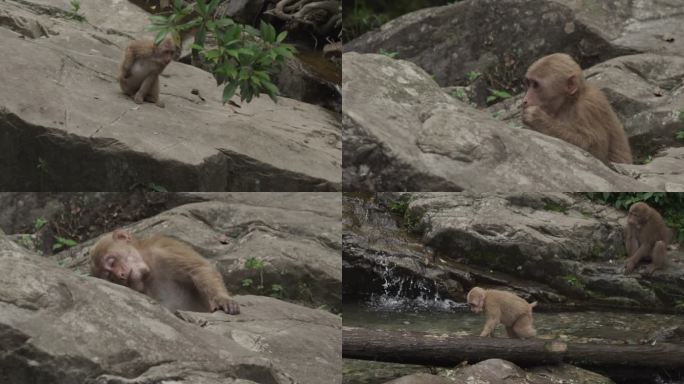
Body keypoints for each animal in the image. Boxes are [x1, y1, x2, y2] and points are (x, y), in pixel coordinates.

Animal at [89, 228, 240, 316]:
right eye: (110, 277)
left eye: (112, 262)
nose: (120, 275)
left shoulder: (165, 248)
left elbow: (200, 269)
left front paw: (222, 298)